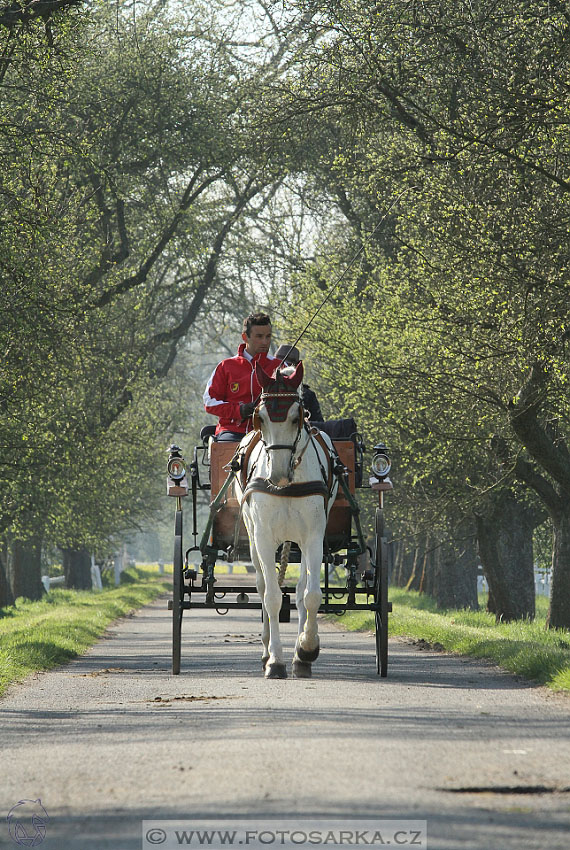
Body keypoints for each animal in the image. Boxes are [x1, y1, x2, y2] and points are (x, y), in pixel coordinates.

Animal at [232, 362, 336, 680]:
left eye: (296, 417)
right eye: (261, 418)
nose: (276, 474)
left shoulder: (313, 537)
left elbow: (311, 595)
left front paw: (306, 649)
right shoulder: (264, 538)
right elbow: (273, 598)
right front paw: (275, 661)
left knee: (301, 591)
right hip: (254, 538)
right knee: (263, 587)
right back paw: (266, 651)